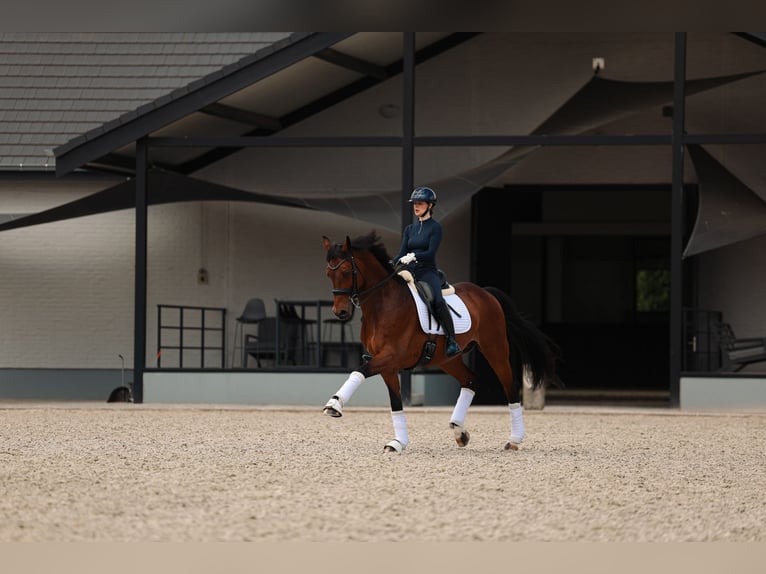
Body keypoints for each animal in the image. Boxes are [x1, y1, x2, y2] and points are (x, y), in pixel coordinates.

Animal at [321, 230, 560, 453]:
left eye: (345, 271)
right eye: (328, 274)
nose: (340, 312)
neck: (383, 305)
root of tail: (485, 293)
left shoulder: (391, 356)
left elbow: (359, 370)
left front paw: (334, 404)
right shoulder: (387, 365)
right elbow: (395, 402)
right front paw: (398, 443)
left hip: (495, 348)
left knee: (509, 385)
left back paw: (514, 439)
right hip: (447, 359)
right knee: (470, 380)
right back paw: (459, 431)